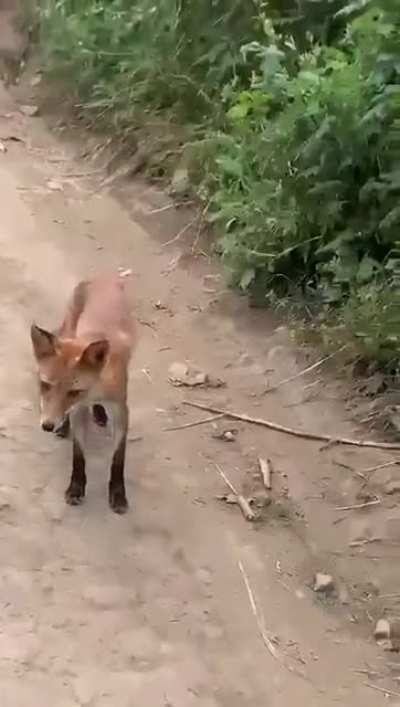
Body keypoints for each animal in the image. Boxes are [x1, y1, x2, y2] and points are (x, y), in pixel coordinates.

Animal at [30, 272, 136, 514]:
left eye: (73, 391)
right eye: (45, 385)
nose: (47, 425)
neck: (94, 390)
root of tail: (102, 275)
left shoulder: (121, 409)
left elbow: (119, 458)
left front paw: (118, 494)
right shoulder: (79, 409)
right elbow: (78, 455)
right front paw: (76, 487)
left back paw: (97, 414)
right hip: (70, 327)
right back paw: (67, 425)